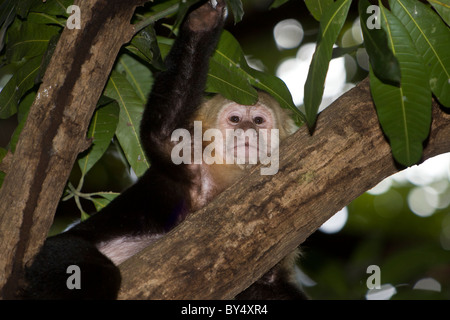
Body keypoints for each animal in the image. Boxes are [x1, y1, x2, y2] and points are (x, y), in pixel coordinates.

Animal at [20, 0, 306, 300]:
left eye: (259, 121)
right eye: (236, 119)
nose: (248, 130)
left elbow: (266, 285)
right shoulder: (192, 164)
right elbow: (160, 133)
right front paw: (201, 24)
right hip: (51, 255)